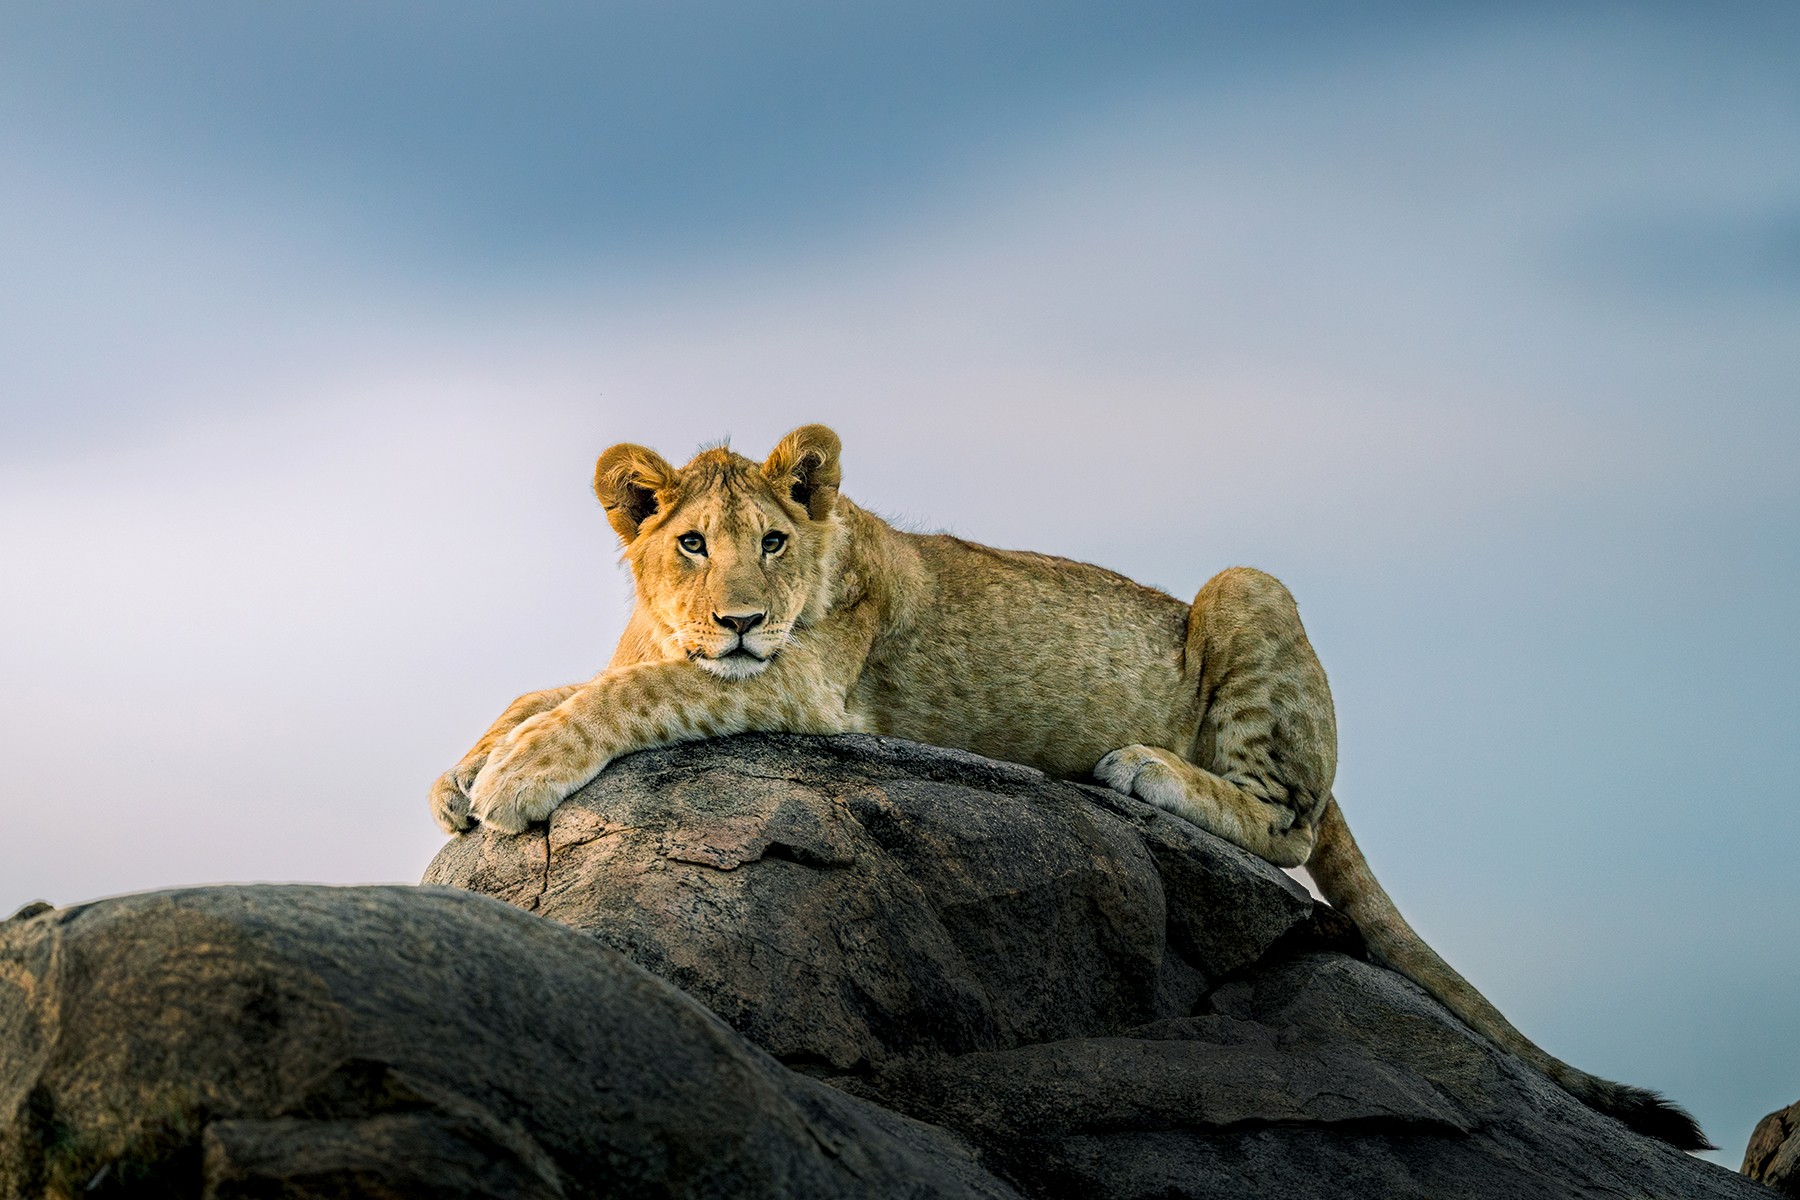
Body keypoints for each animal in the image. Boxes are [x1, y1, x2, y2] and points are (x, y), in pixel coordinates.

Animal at [430, 423, 1708, 1150]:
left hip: (1246, 586)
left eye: (775, 544)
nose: (740, 618)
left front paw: (518, 776)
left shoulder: (801, 684)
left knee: (1288, 823)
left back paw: (1144, 769)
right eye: (692, 543)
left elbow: (625, 696)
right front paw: (465, 768)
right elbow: (557, 682)